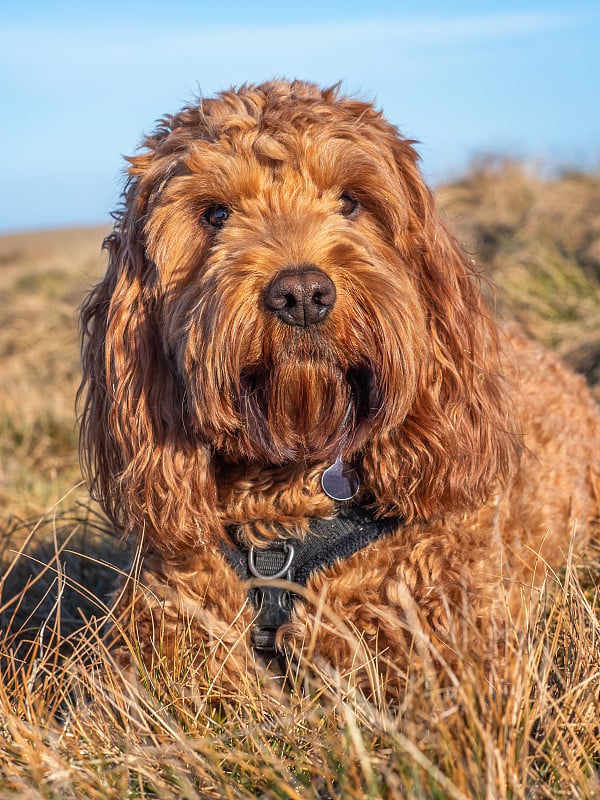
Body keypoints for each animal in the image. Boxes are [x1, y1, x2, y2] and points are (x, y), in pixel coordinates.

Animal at [81, 79, 600, 692]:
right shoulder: (154, 649)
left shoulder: (453, 646)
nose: (302, 294)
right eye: (216, 214)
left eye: (351, 202)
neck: (285, 508)